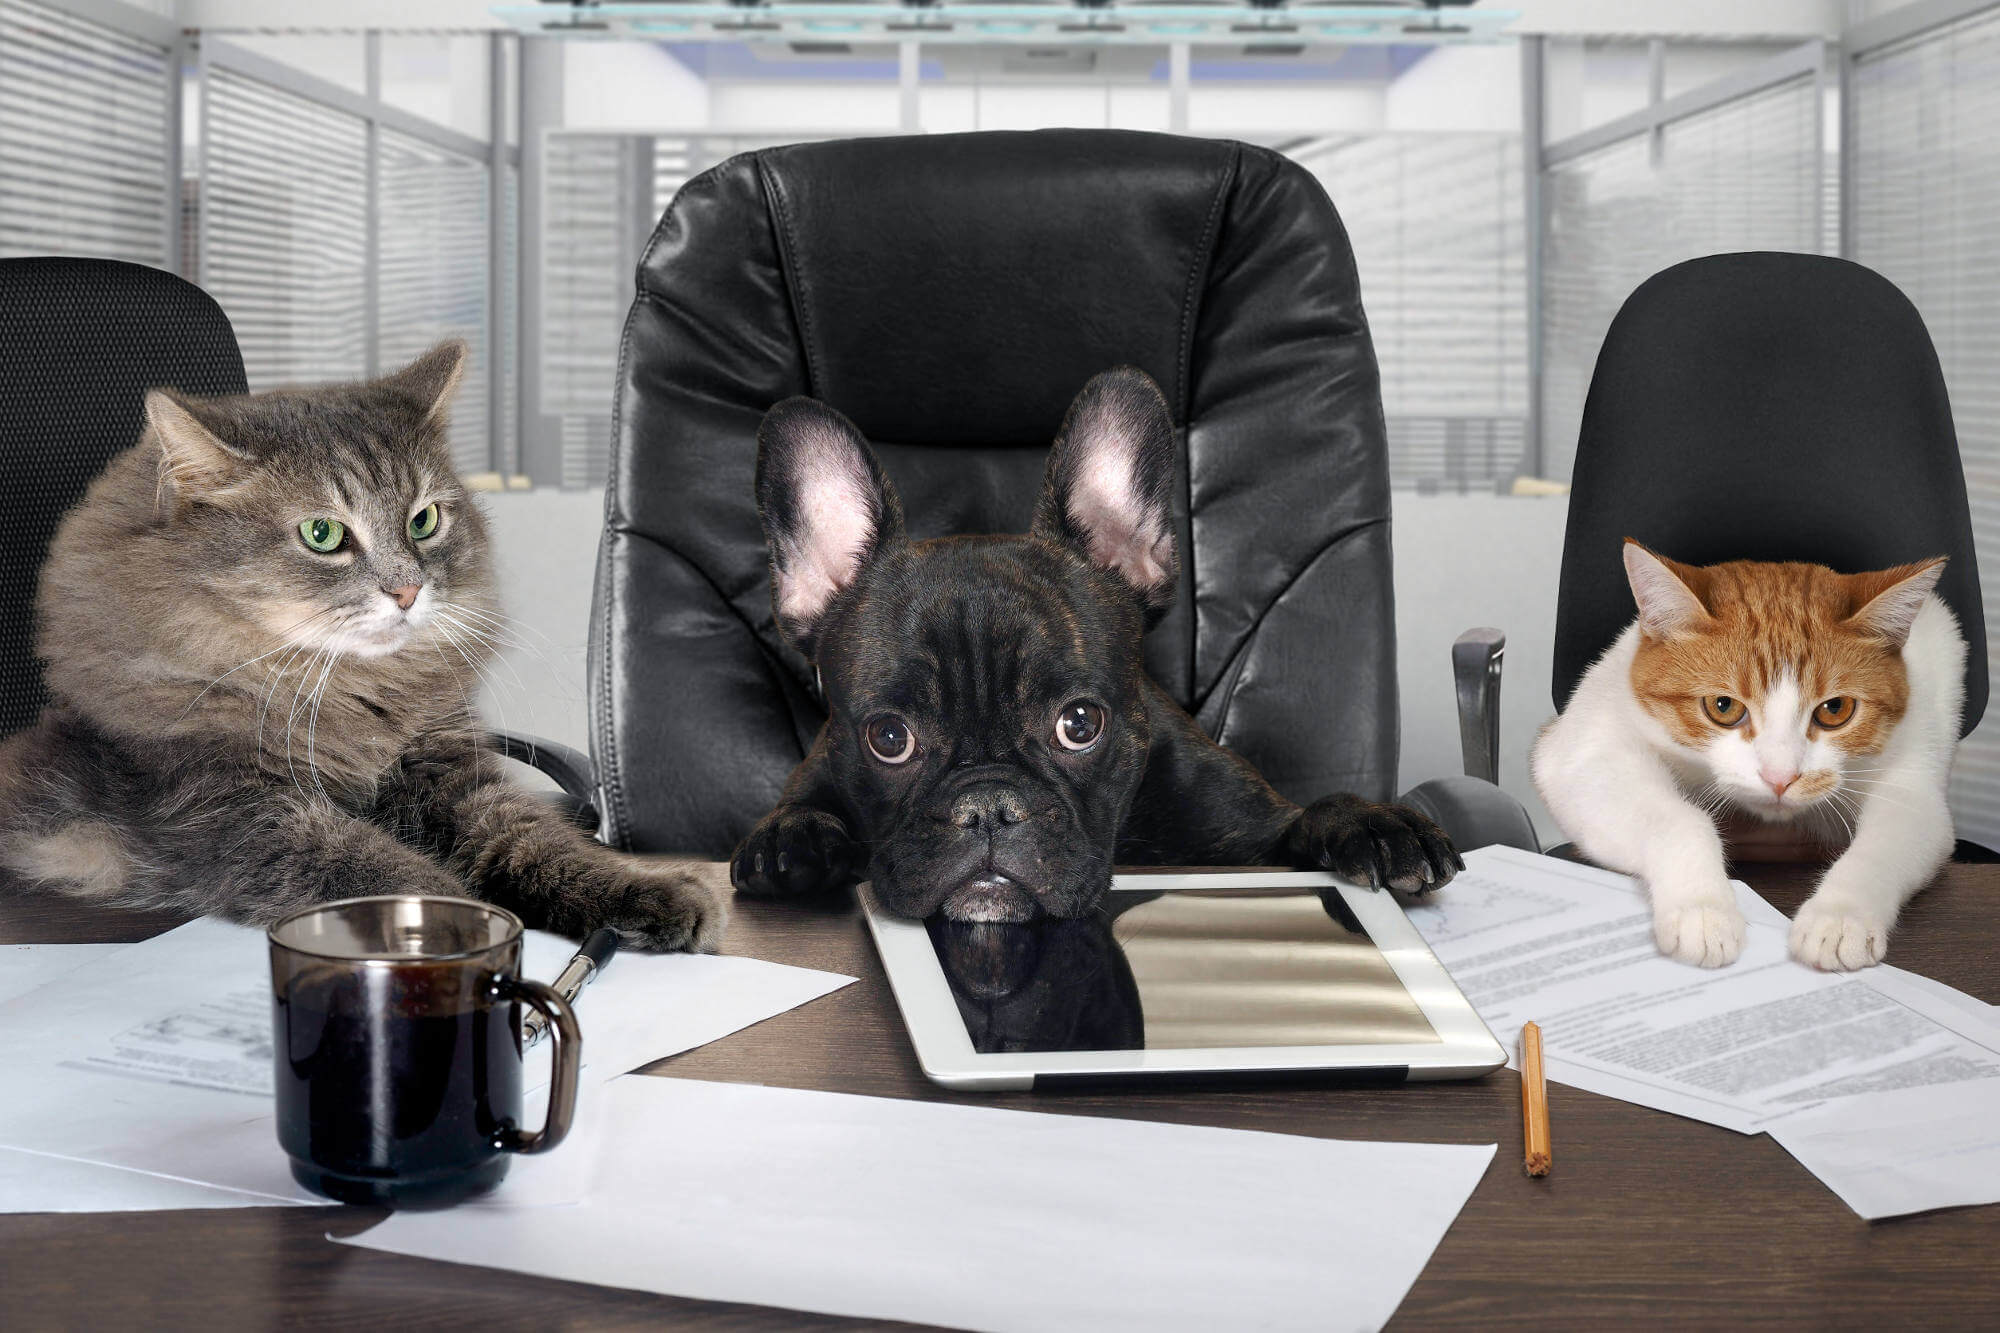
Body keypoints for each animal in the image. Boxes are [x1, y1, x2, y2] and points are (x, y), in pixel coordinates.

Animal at [0, 342, 728, 944]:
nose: (407, 591)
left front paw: (655, 892)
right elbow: (388, 870)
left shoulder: (449, 772)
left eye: (424, 520)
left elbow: (545, 845)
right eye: (323, 534)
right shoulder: (237, 808)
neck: (351, 692)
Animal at [1536, 536, 1960, 964]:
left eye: (1835, 710)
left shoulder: (1912, 780)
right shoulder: (1584, 747)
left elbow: (1886, 843)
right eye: (1723, 707)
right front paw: (1703, 909)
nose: (1781, 778)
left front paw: (1841, 915)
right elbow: (1678, 819)